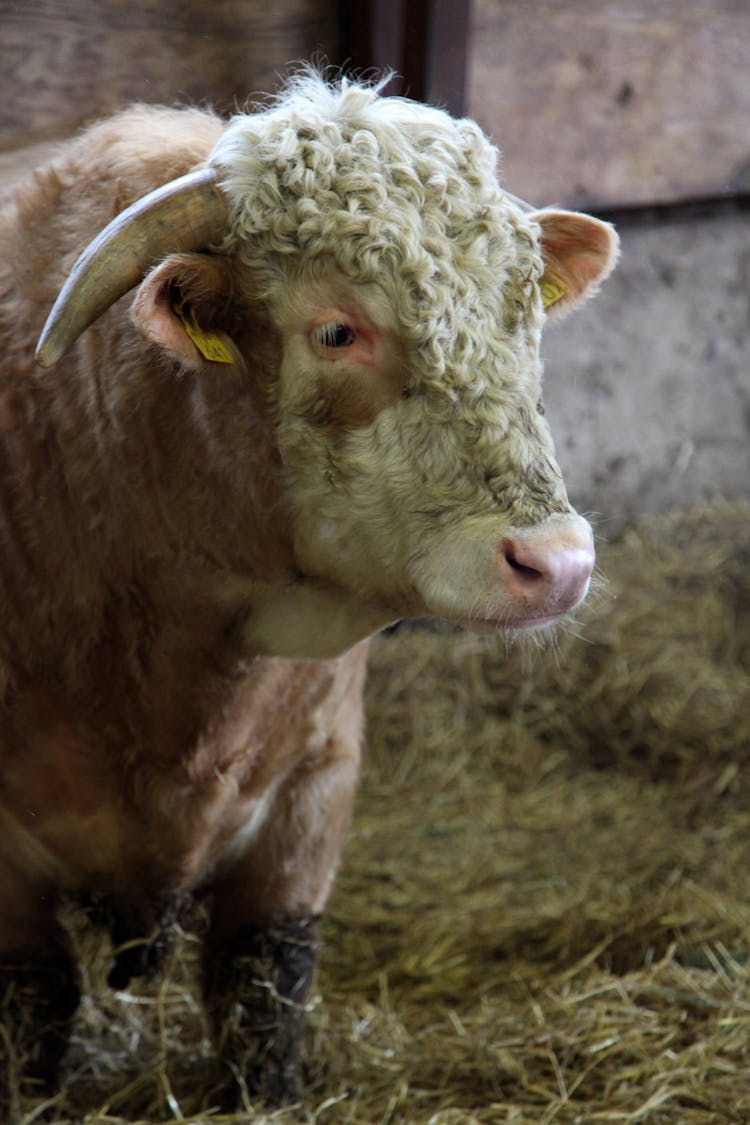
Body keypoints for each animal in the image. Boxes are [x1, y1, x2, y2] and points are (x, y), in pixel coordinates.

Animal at [0, 72, 620, 1116]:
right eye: (336, 329)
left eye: (521, 311)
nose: (556, 562)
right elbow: (32, 1015)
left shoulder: (310, 798)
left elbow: (263, 992)